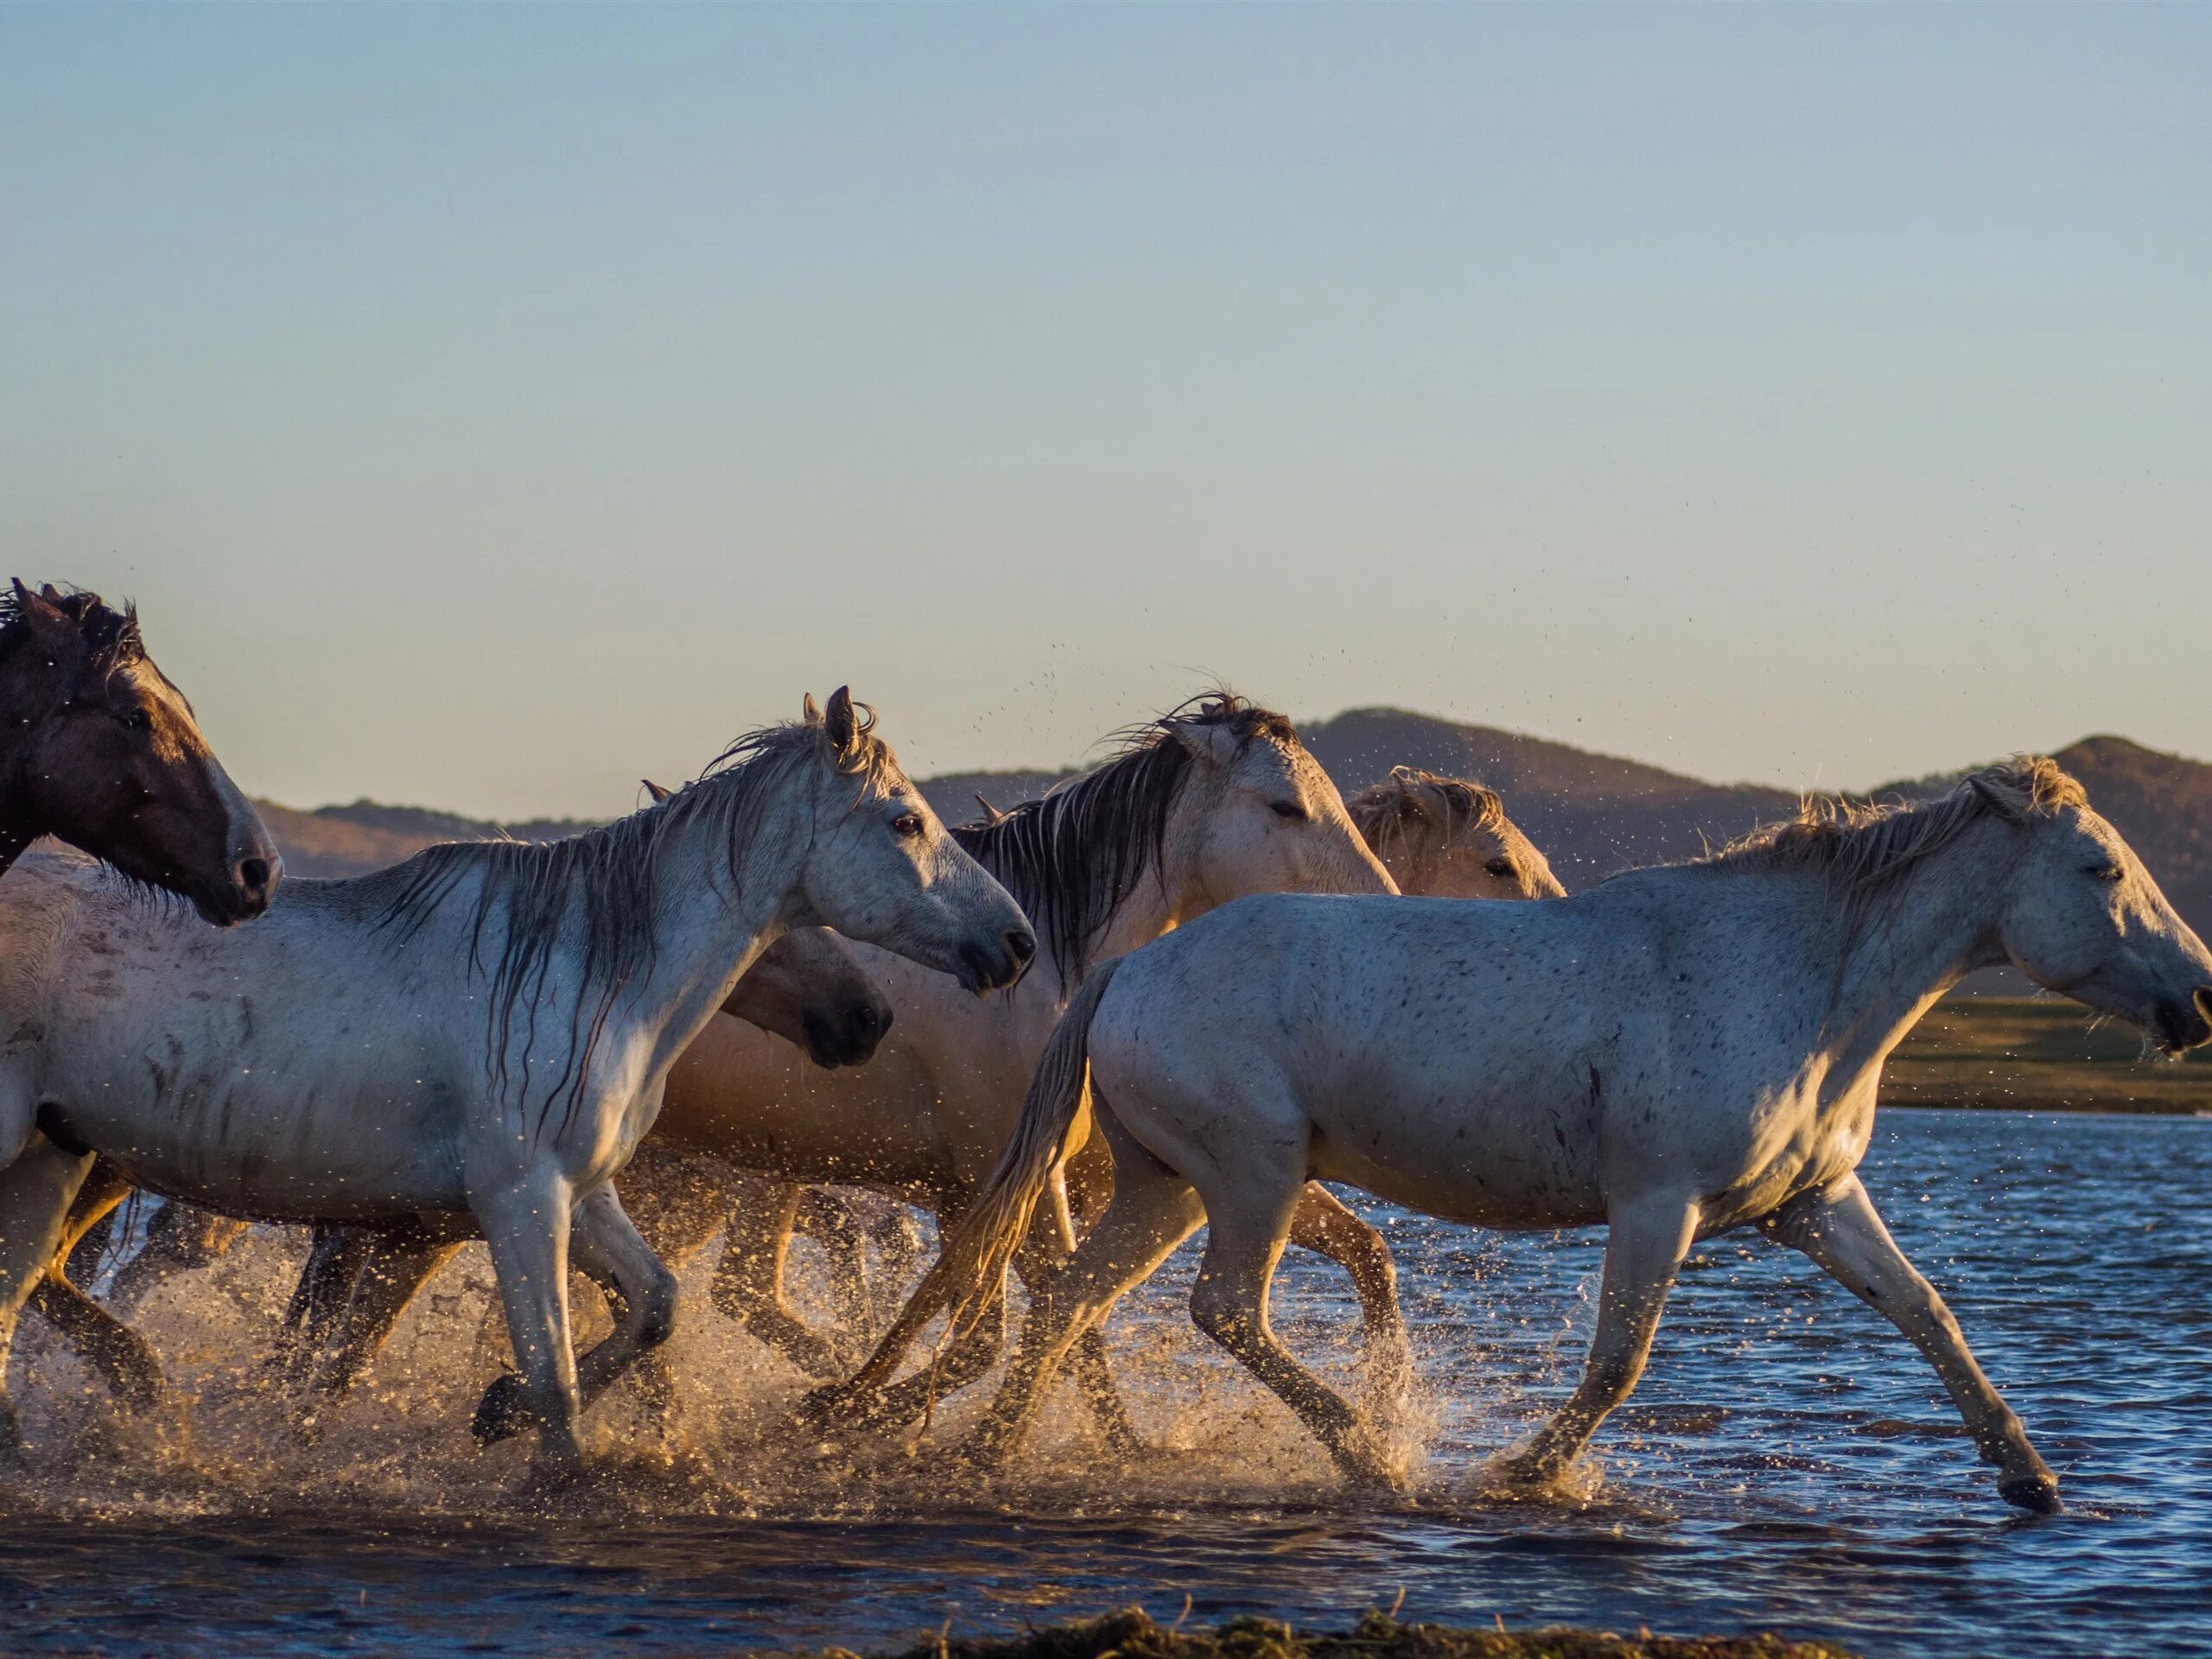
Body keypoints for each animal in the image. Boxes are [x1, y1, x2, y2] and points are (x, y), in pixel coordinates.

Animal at [0, 694, 1030, 1478]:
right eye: (905, 821)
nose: (1015, 943)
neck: (587, 969)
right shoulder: (520, 1200)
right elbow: (555, 1375)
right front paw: (550, 1468)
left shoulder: (584, 1192)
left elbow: (654, 1307)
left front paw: (495, 1411)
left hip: (51, 1163)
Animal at [871, 760, 2212, 1513]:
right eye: (2101, 868)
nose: (2197, 1001)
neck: (1800, 980)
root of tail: (1129, 970)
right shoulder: (1658, 1206)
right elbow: (1617, 1364)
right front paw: (1521, 1474)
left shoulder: (1814, 1204)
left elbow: (1931, 1316)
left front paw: (2030, 1478)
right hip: (1249, 1183)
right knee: (1220, 1313)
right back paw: (1372, 1459)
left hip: (1168, 1188)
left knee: (1066, 1305)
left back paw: (988, 1459)